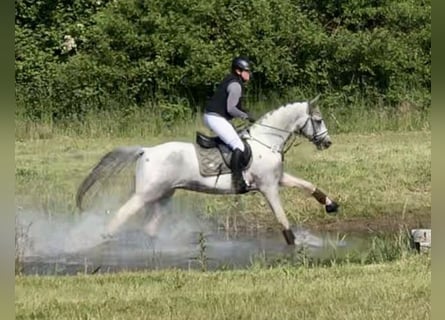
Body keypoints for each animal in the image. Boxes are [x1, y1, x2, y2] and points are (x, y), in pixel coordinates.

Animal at [76, 95, 338, 245]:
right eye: (318, 120)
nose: (327, 143)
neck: (267, 140)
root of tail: (145, 150)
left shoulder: (277, 179)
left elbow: (308, 185)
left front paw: (331, 205)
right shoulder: (268, 187)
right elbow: (282, 220)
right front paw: (294, 244)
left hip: (163, 195)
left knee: (150, 226)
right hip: (145, 195)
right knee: (119, 217)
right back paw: (101, 241)